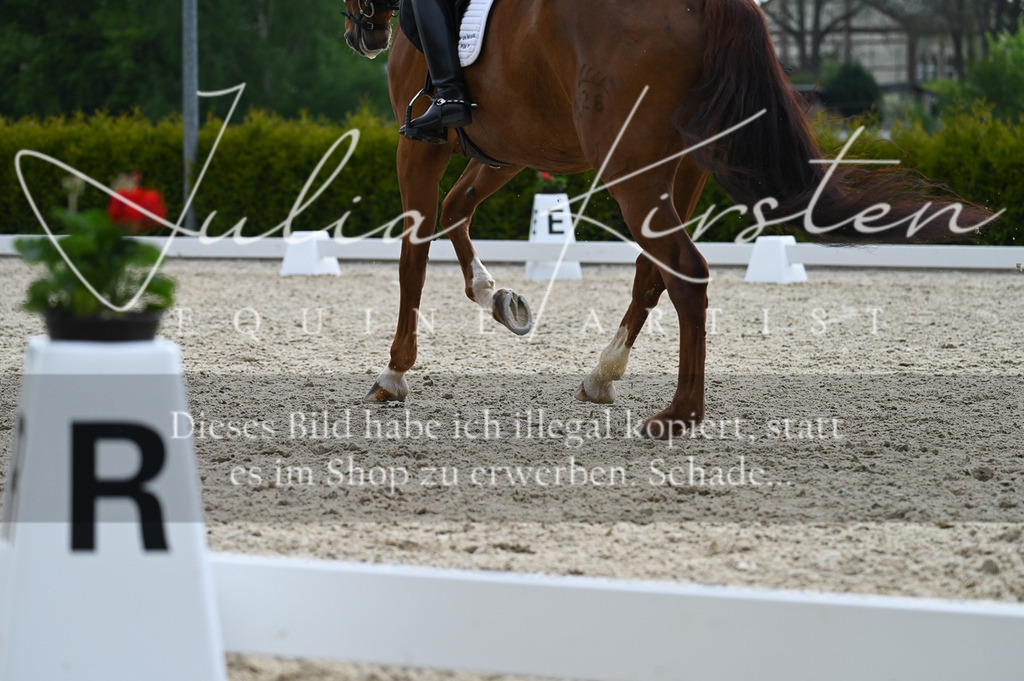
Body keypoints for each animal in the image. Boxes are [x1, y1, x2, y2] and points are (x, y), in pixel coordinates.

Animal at [342, 0, 993, 439]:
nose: (360, 33)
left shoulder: (419, 145)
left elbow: (412, 255)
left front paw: (393, 373)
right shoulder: (510, 145)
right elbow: (456, 213)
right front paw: (500, 299)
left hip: (630, 163)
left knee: (686, 270)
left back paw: (679, 414)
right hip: (677, 164)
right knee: (655, 270)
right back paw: (605, 374)